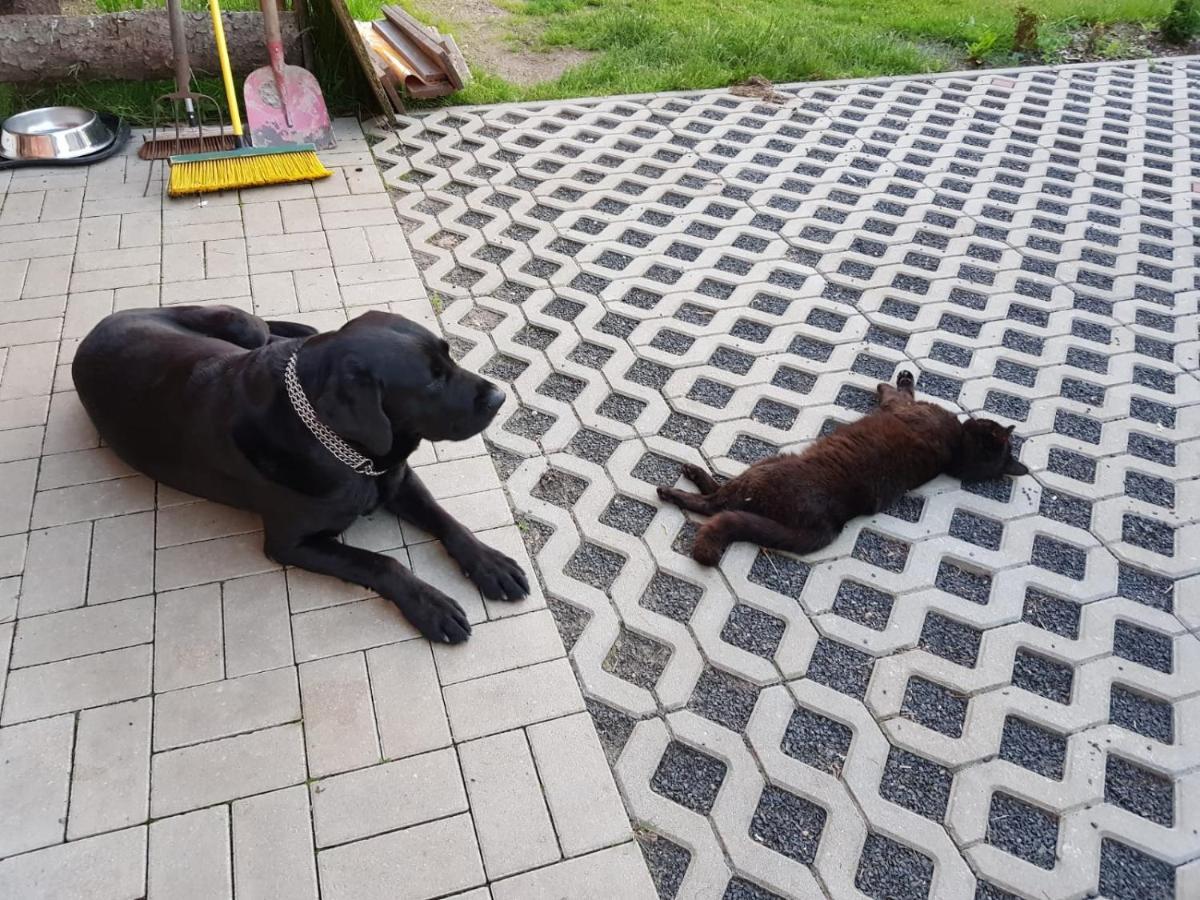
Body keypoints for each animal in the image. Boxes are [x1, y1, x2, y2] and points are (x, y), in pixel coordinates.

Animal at [72, 307, 528, 643]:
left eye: (449, 355)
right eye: (431, 381)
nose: (499, 396)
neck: (337, 443)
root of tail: (95, 328)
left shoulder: (394, 478)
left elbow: (447, 520)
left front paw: (490, 563)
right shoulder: (290, 543)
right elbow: (383, 563)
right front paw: (430, 604)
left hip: (242, 326)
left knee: (271, 333)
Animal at [657, 369, 1032, 566]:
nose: (982, 420)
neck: (956, 450)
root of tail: (830, 521)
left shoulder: (900, 406)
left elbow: (897, 393)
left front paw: (901, 379)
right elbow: (902, 391)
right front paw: (905, 376)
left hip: (767, 467)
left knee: (715, 503)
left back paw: (675, 489)